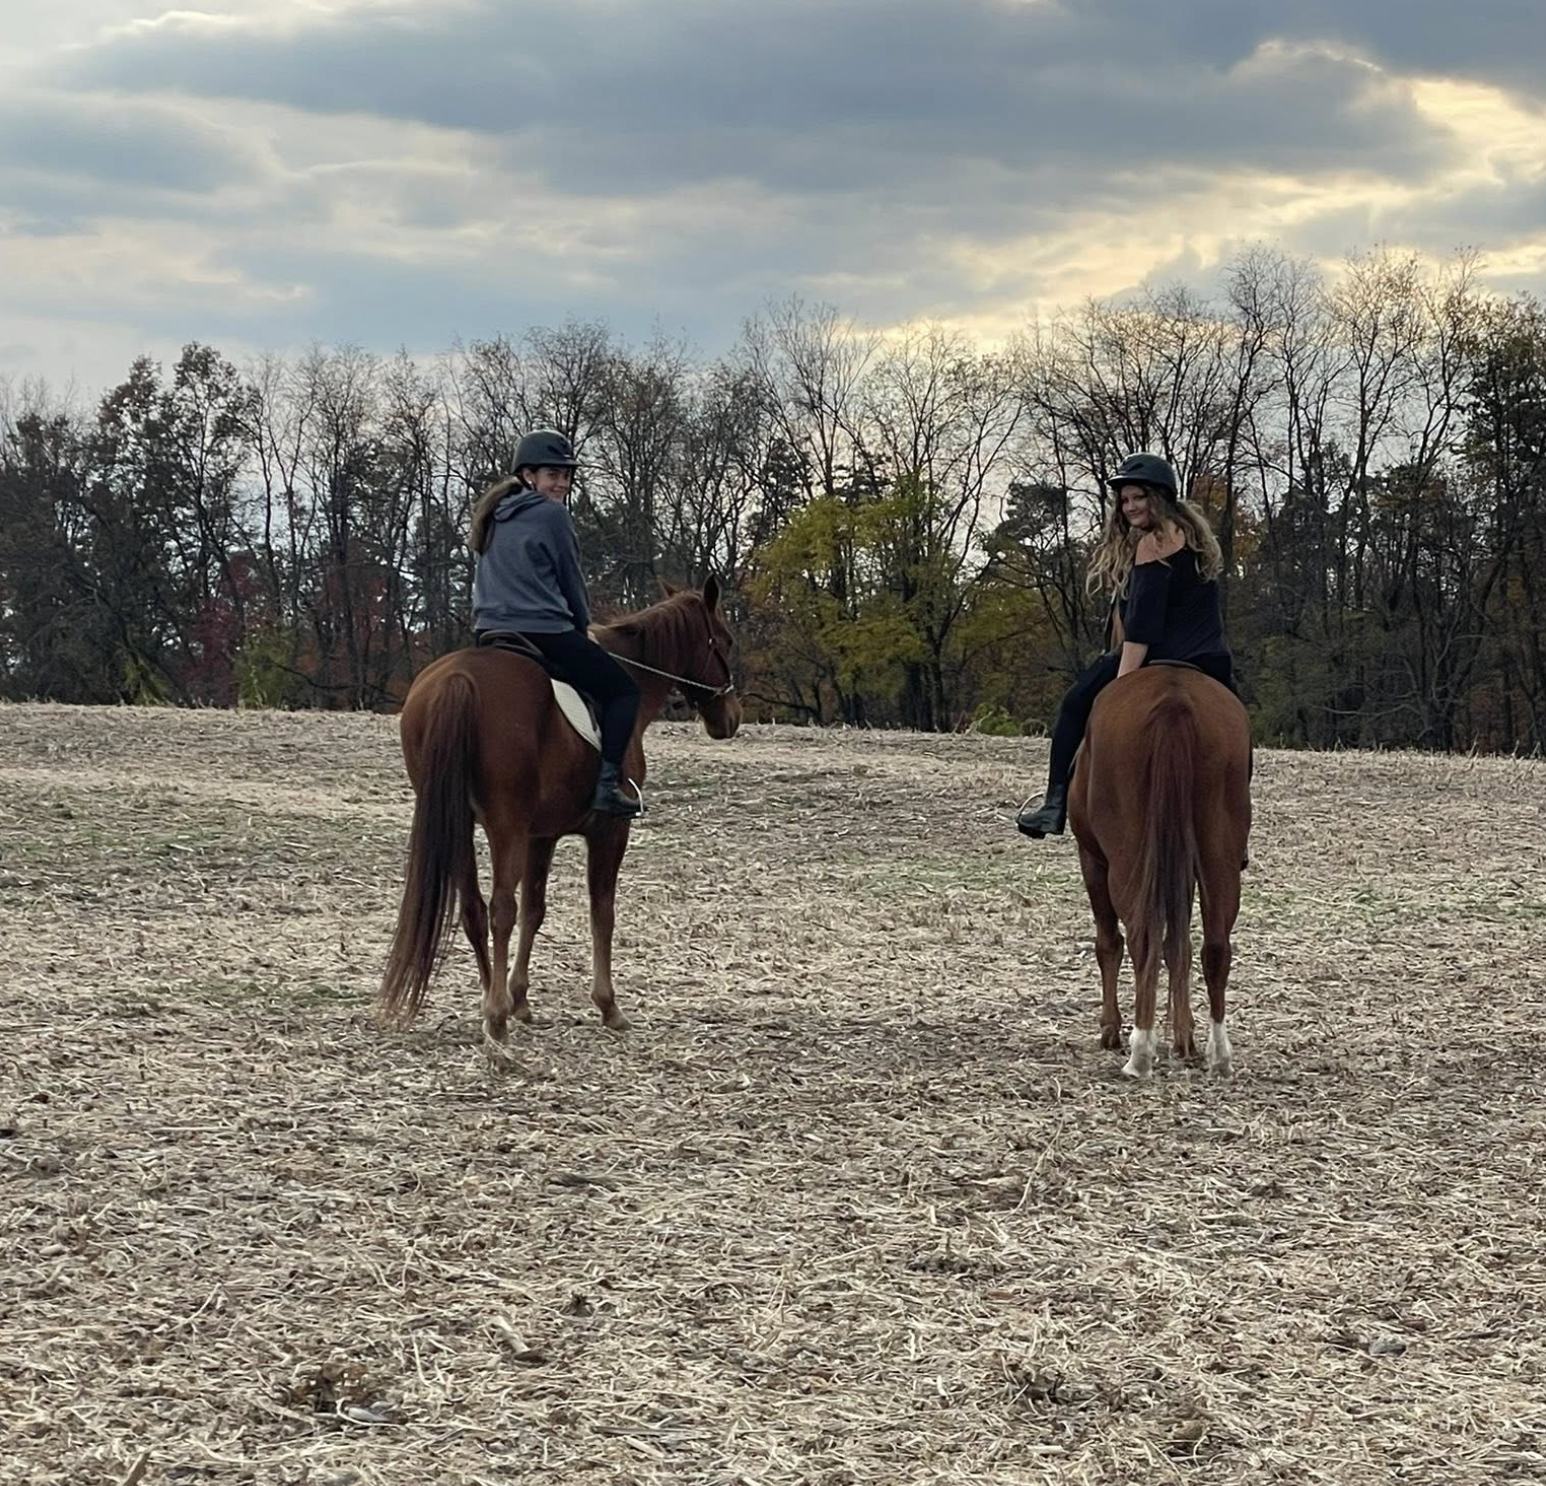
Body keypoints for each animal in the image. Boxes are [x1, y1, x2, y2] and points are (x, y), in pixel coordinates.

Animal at [378, 578, 741, 1050]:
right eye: (726, 641)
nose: (730, 719)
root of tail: (458, 679)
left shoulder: (541, 836)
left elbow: (536, 909)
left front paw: (520, 999)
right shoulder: (609, 832)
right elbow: (601, 912)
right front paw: (608, 1006)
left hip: (460, 825)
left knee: (475, 908)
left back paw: (490, 999)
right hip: (505, 827)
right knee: (500, 908)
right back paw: (496, 1016)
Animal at [1067, 663, 1252, 1078]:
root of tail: (1174, 703)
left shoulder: (1093, 861)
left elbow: (1109, 943)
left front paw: (1111, 1030)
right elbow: (1178, 946)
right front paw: (1185, 1039)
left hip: (1126, 860)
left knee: (1141, 938)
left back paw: (1140, 1050)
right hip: (1218, 858)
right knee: (1215, 948)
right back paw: (1220, 1055)